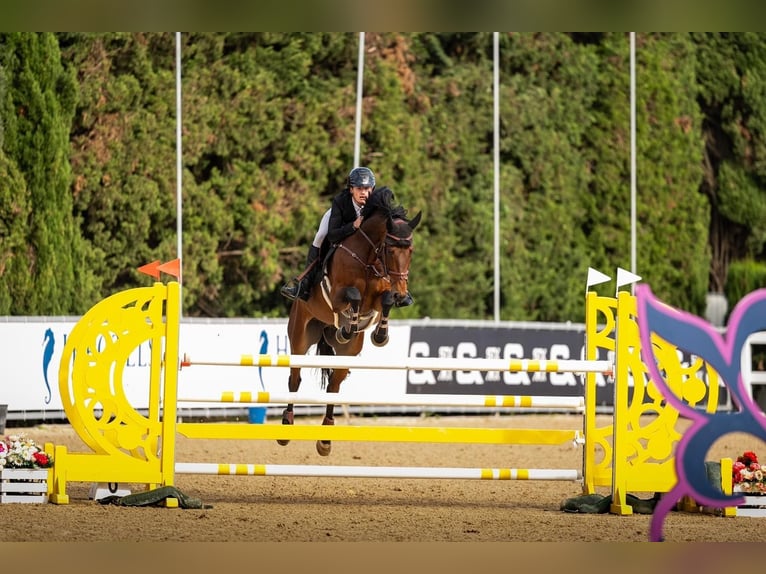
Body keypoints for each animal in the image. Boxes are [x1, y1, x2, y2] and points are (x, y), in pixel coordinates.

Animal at [279, 186, 422, 455]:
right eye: (389, 249)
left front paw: (379, 335)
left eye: (410, 251)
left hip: (348, 354)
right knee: (294, 379)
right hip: (300, 337)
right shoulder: (336, 296)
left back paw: (325, 439)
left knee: (334, 386)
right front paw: (348, 328)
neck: (368, 258)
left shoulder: (379, 296)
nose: (402, 294)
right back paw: (286, 426)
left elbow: (385, 301)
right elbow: (353, 295)